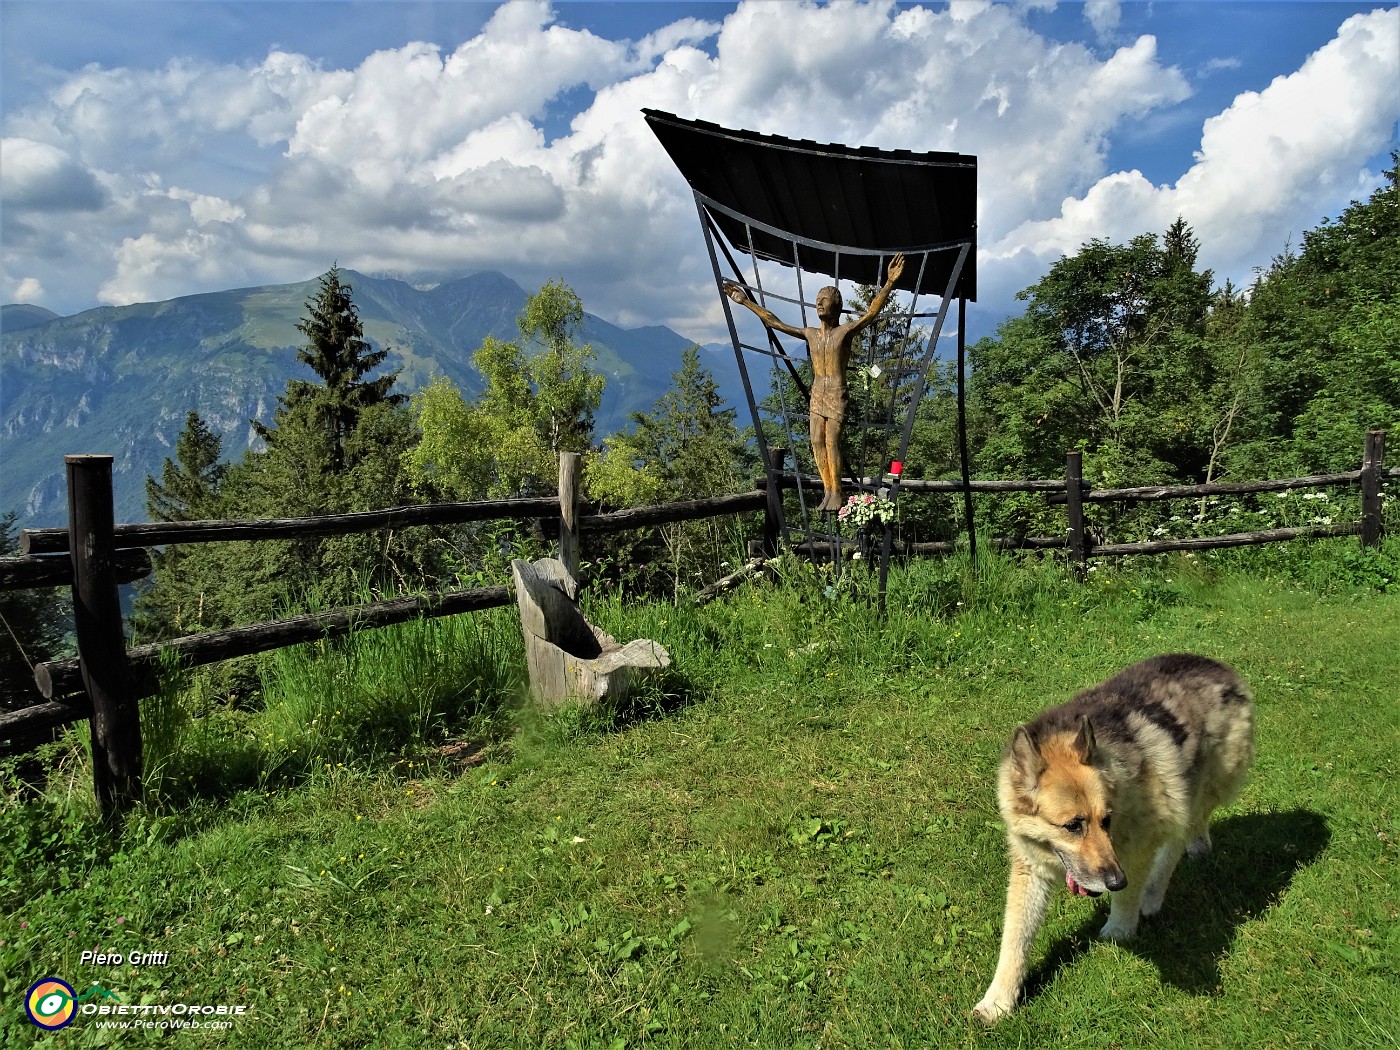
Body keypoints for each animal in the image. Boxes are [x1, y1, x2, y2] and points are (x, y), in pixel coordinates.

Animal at [974, 655, 1260, 1024]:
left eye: (1105, 819)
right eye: (1072, 826)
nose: (1114, 880)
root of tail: (1219, 667)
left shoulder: (1138, 847)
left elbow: (1129, 894)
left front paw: (1121, 928)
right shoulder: (1029, 869)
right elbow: (1015, 938)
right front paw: (998, 1000)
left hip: (1195, 791)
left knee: (1177, 842)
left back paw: (1154, 893)